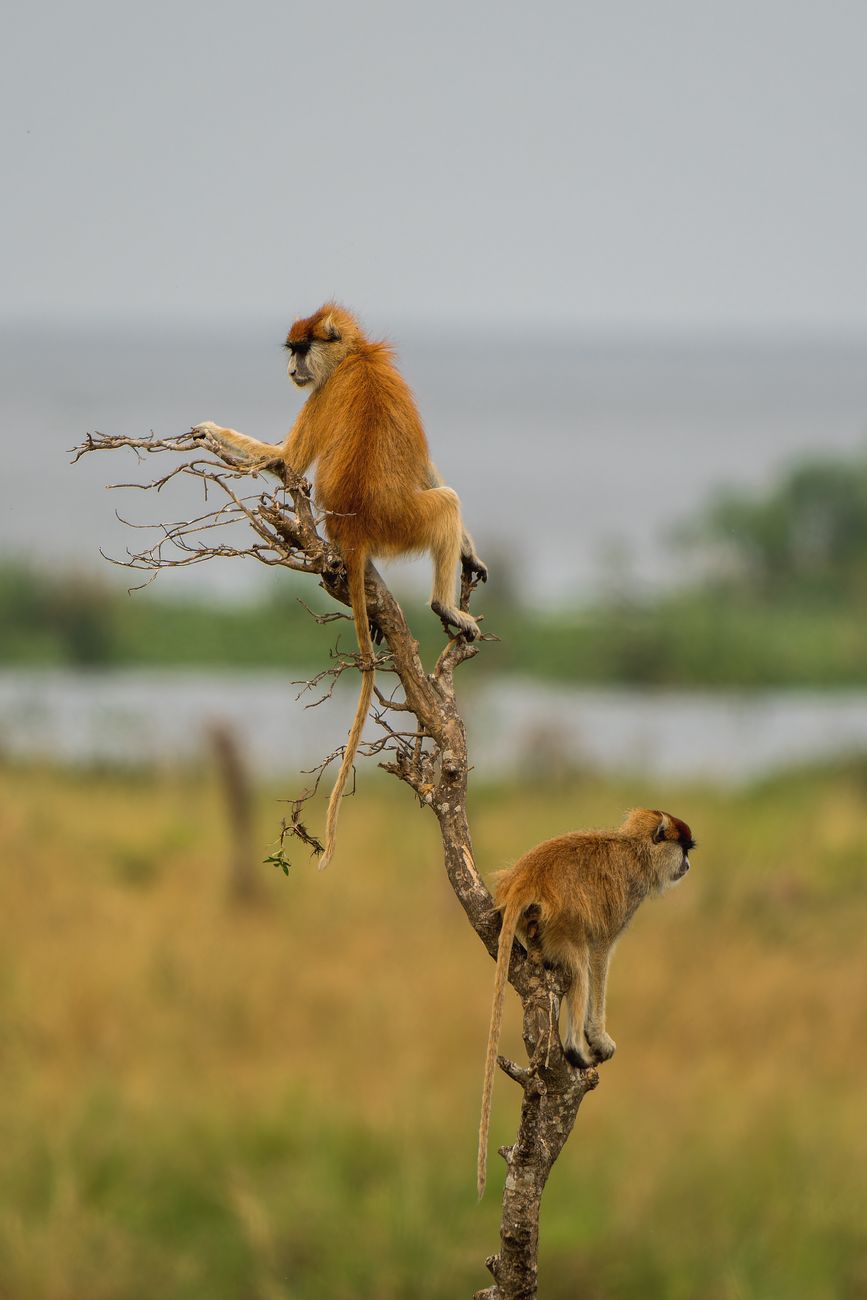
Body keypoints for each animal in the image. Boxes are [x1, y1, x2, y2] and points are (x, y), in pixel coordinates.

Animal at [189, 303, 486, 869]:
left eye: (300, 350)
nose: (291, 371)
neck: (355, 356)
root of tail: (356, 529)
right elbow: (293, 459)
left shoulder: (327, 389)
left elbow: (289, 459)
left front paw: (211, 433)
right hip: (401, 524)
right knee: (447, 501)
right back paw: (446, 605)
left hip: (399, 523)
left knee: (445, 501)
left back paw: (444, 606)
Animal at [477, 808, 695, 1198]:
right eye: (682, 847)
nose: (687, 863)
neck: (634, 850)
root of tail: (526, 877)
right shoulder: (625, 894)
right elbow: (600, 954)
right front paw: (598, 1037)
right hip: (562, 919)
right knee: (578, 965)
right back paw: (576, 1048)